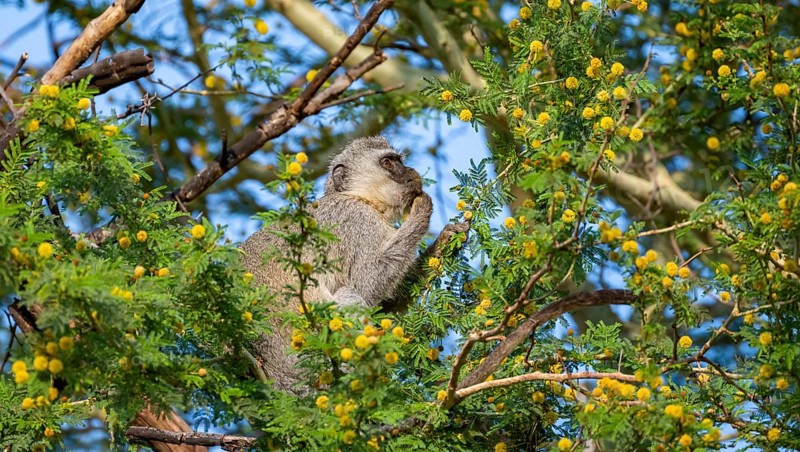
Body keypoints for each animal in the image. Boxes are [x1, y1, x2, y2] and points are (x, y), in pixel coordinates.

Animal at [240, 136, 435, 390]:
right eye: (388, 163)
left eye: (399, 161)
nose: (410, 171)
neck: (357, 197)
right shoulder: (355, 220)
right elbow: (368, 282)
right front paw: (422, 213)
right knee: (348, 294)